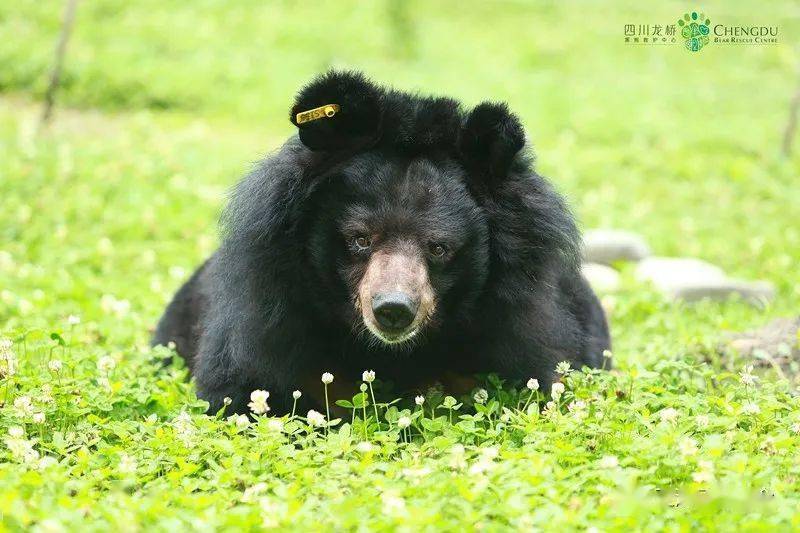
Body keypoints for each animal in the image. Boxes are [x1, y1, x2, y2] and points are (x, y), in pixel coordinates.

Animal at [153, 69, 608, 416]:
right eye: (359, 239)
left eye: (438, 248)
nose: (393, 310)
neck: (388, 353)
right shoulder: (273, 320)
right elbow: (239, 389)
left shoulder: (511, 326)